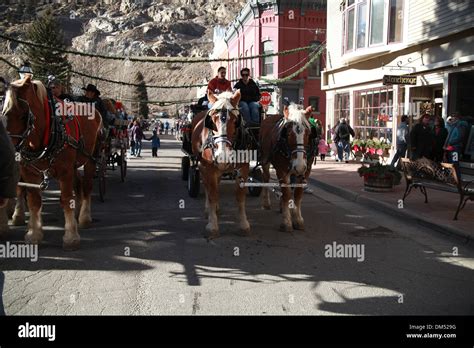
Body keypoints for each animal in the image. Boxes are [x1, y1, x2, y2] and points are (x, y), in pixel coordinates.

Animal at [1, 77, 102, 250]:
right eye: (1, 112)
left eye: (23, 115)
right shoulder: (29, 172)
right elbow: (34, 201)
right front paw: (34, 234)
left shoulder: (65, 171)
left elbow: (66, 199)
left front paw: (71, 237)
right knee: (78, 184)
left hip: (90, 159)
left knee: (87, 185)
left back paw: (84, 218)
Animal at [190, 90, 250, 239]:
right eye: (211, 121)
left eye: (235, 120)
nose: (222, 156)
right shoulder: (208, 168)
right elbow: (212, 194)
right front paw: (212, 225)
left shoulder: (243, 168)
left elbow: (240, 196)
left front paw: (244, 224)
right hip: (202, 166)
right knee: (207, 186)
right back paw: (209, 210)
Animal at [260, 104, 314, 234]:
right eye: (288, 134)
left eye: (308, 134)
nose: (299, 166)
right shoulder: (282, 170)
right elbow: (287, 193)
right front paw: (286, 222)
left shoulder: (306, 170)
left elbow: (298, 194)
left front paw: (298, 219)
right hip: (265, 159)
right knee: (266, 177)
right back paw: (266, 203)